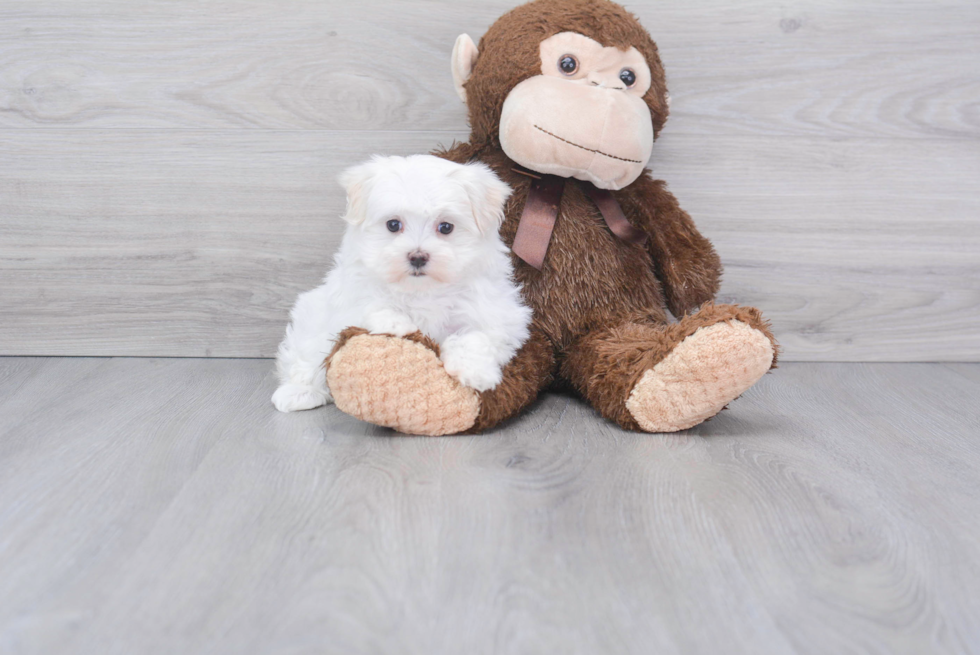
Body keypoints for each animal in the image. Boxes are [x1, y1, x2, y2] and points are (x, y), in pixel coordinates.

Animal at [272, 154, 532, 412]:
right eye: (393, 224)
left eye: (446, 227)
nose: (417, 257)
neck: (422, 290)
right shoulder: (347, 297)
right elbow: (368, 304)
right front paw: (396, 322)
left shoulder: (498, 313)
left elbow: (477, 336)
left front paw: (475, 371)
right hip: (312, 317)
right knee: (305, 355)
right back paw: (299, 392)